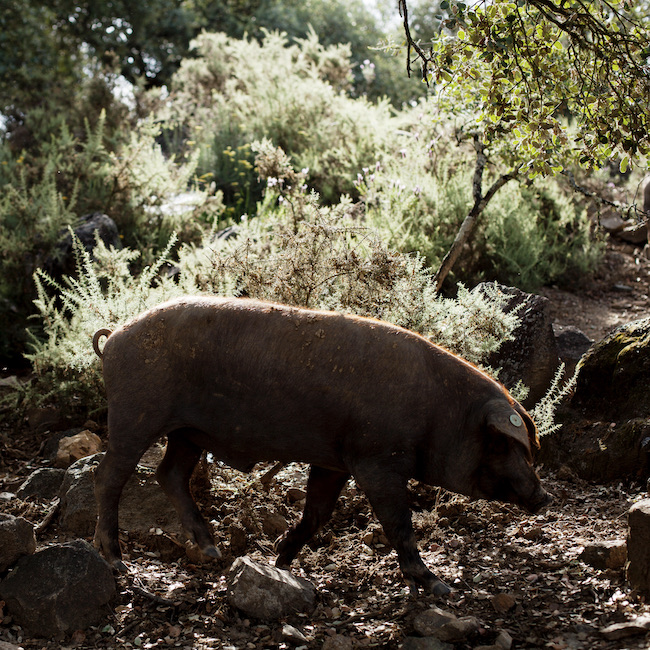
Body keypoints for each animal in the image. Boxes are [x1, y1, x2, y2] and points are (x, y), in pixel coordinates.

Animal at [90, 296, 548, 596]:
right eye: (505, 445)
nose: (544, 497)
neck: (441, 412)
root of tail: (113, 338)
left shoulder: (334, 462)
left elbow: (318, 513)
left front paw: (279, 559)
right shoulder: (376, 461)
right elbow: (398, 522)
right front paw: (440, 588)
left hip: (187, 433)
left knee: (169, 475)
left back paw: (213, 549)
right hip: (136, 414)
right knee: (109, 477)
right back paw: (116, 561)